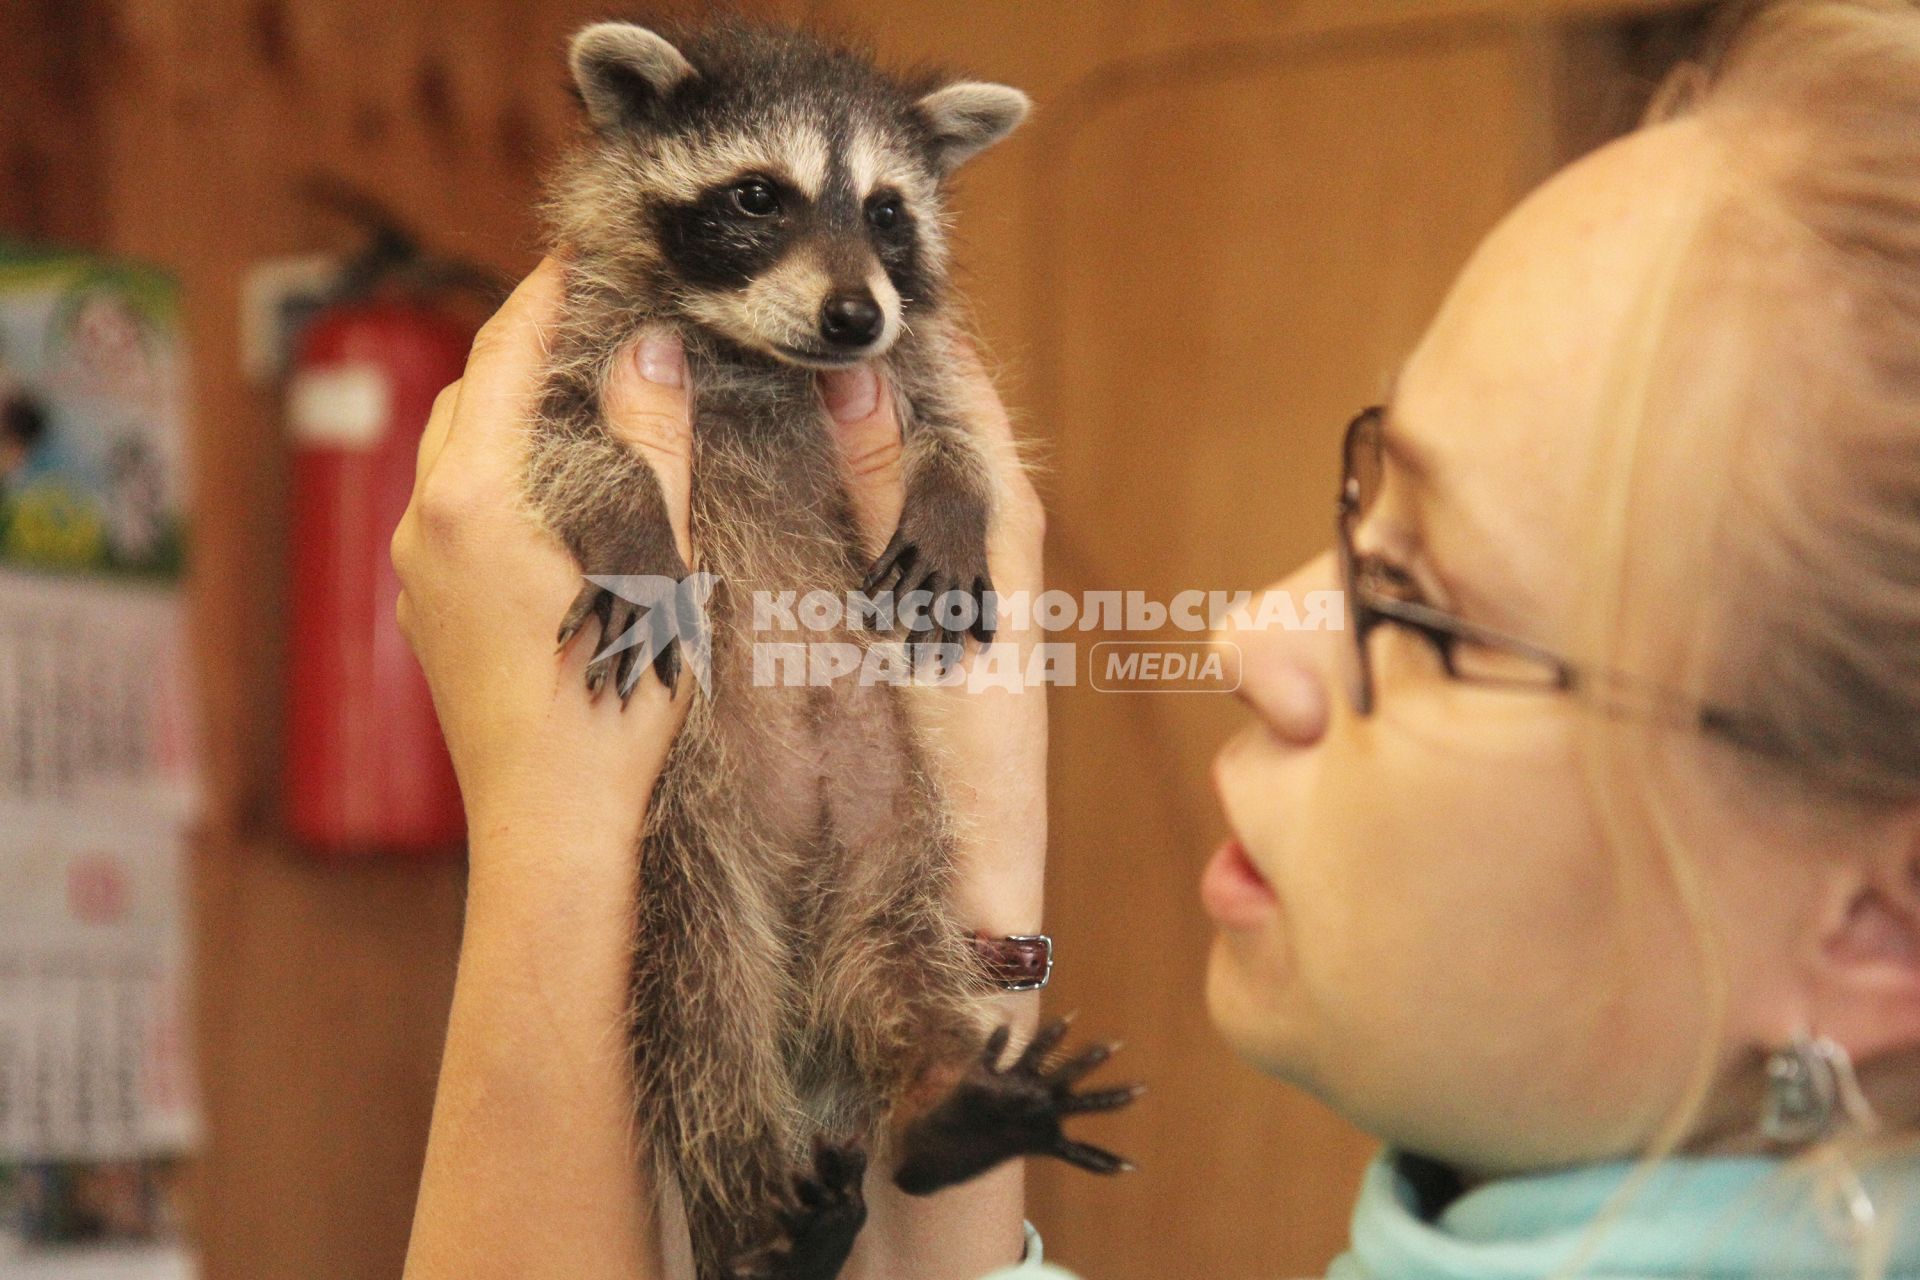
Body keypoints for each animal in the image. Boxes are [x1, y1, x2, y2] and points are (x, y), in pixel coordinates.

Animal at [526, 17, 1136, 1280]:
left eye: (890, 212)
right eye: (760, 195)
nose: (857, 315)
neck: (767, 358)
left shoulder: (913, 363)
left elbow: (957, 433)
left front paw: (950, 497)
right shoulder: (590, 339)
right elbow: (567, 444)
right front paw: (631, 522)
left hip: (897, 839)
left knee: (905, 969)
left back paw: (955, 1098)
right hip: (688, 850)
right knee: (701, 1018)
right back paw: (756, 1207)